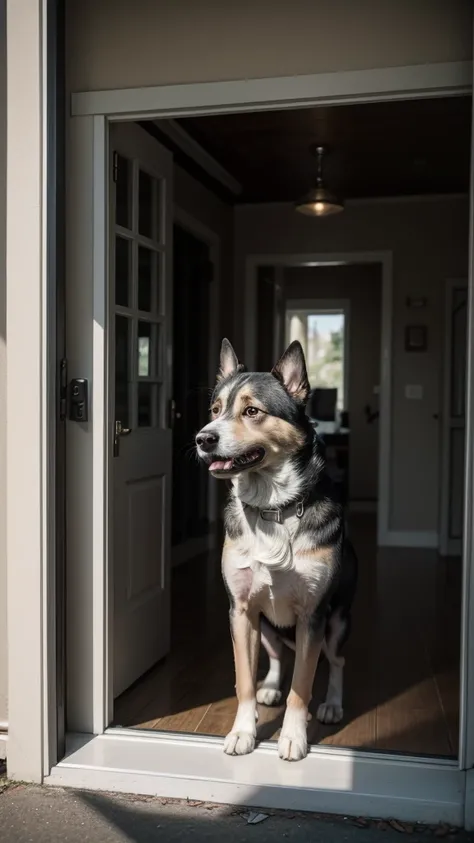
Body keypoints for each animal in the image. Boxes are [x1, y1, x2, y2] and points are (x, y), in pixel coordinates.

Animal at [195, 340, 356, 760]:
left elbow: (302, 686)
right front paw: (243, 731)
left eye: (252, 411)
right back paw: (269, 688)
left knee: (337, 661)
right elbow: (244, 680)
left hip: (337, 622)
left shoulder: (314, 616)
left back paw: (333, 704)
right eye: (215, 410)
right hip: (266, 625)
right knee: (277, 656)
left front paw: (294, 736)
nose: (202, 439)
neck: (273, 507)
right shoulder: (240, 610)